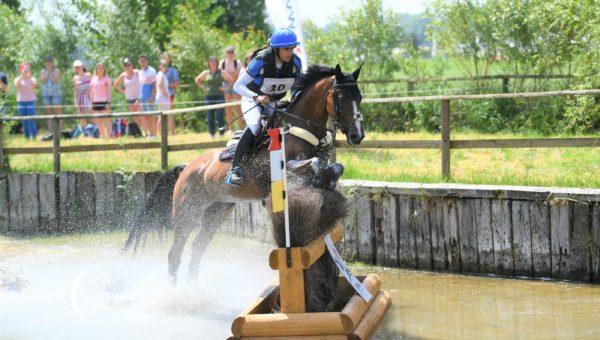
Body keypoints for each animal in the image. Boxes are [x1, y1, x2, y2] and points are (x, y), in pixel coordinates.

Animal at [124, 62, 364, 282]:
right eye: (340, 97)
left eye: (359, 97)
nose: (357, 136)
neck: (300, 129)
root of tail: (187, 167)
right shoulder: (280, 169)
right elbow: (313, 163)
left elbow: (336, 167)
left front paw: (328, 183)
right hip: (187, 212)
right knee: (175, 253)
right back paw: (177, 293)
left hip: (216, 213)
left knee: (197, 249)